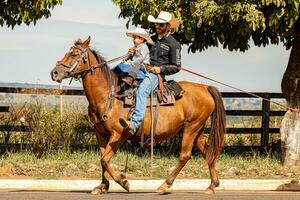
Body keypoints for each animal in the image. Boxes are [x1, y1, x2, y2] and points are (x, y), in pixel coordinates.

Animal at [51, 36, 225, 195]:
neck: (109, 95)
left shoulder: (119, 134)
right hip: (197, 130)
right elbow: (102, 159)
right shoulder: (100, 133)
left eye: (74, 54)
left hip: (191, 127)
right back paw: (211, 186)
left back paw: (165, 185)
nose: (54, 72)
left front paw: (123, 182)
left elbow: (105, 159)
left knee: (185, 155)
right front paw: (102, 186)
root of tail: (204, 88)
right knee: (208, 153)